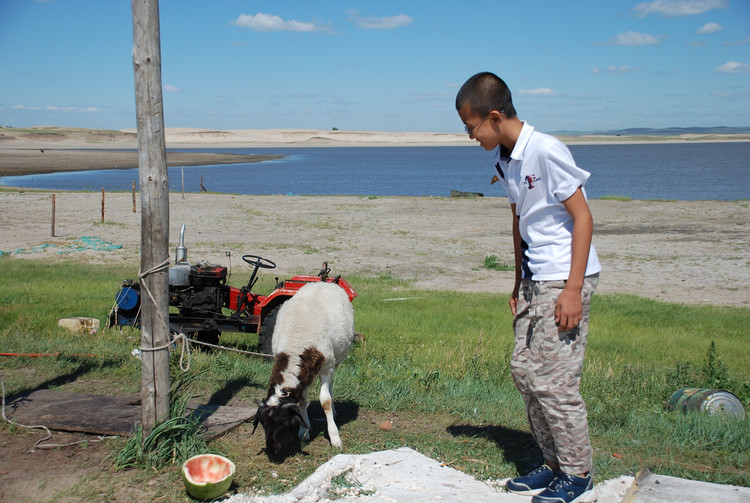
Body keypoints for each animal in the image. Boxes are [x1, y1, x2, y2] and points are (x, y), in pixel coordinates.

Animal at [253, 282, 356, 454]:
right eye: (263, 423)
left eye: (284, 423)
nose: (272, 449)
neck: (296, 345)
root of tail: (324, 282)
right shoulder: (303, 373)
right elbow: (302, 399)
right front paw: (303, 431)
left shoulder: (326, 367)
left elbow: (325, 401)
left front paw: (335, 437)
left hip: (336, 361)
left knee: (330, 387)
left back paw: (334, 411)